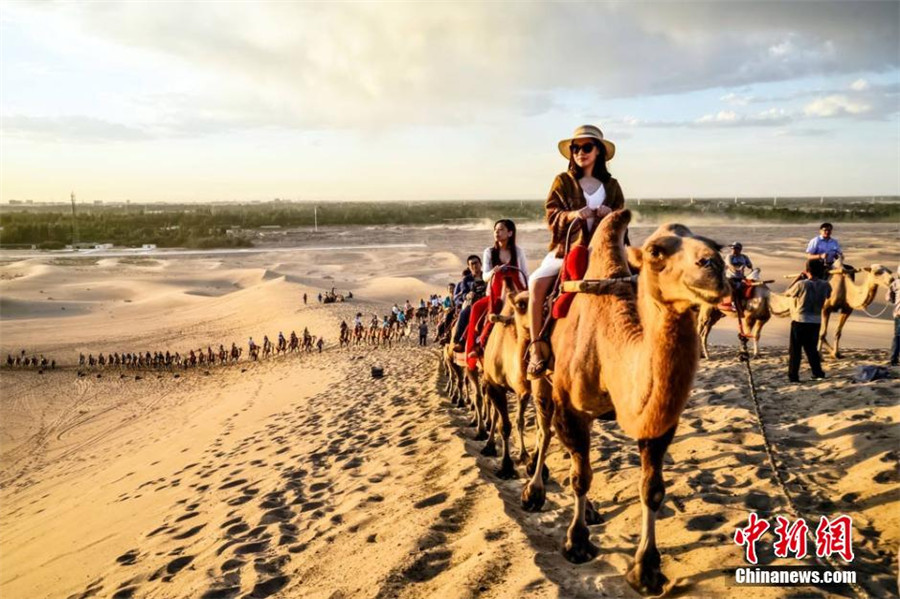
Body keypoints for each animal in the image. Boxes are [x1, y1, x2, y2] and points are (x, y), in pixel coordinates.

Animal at [524, 212, 728, 596]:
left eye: (717, 245)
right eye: (655, 251)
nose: (716, 268)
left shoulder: (657, 421)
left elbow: (652, 489)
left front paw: (645, 569)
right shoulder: (570, 408)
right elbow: (580, 477)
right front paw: (577, 543)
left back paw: (588, 510)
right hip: (541, 377)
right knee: (545, 432)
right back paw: (534, 490)